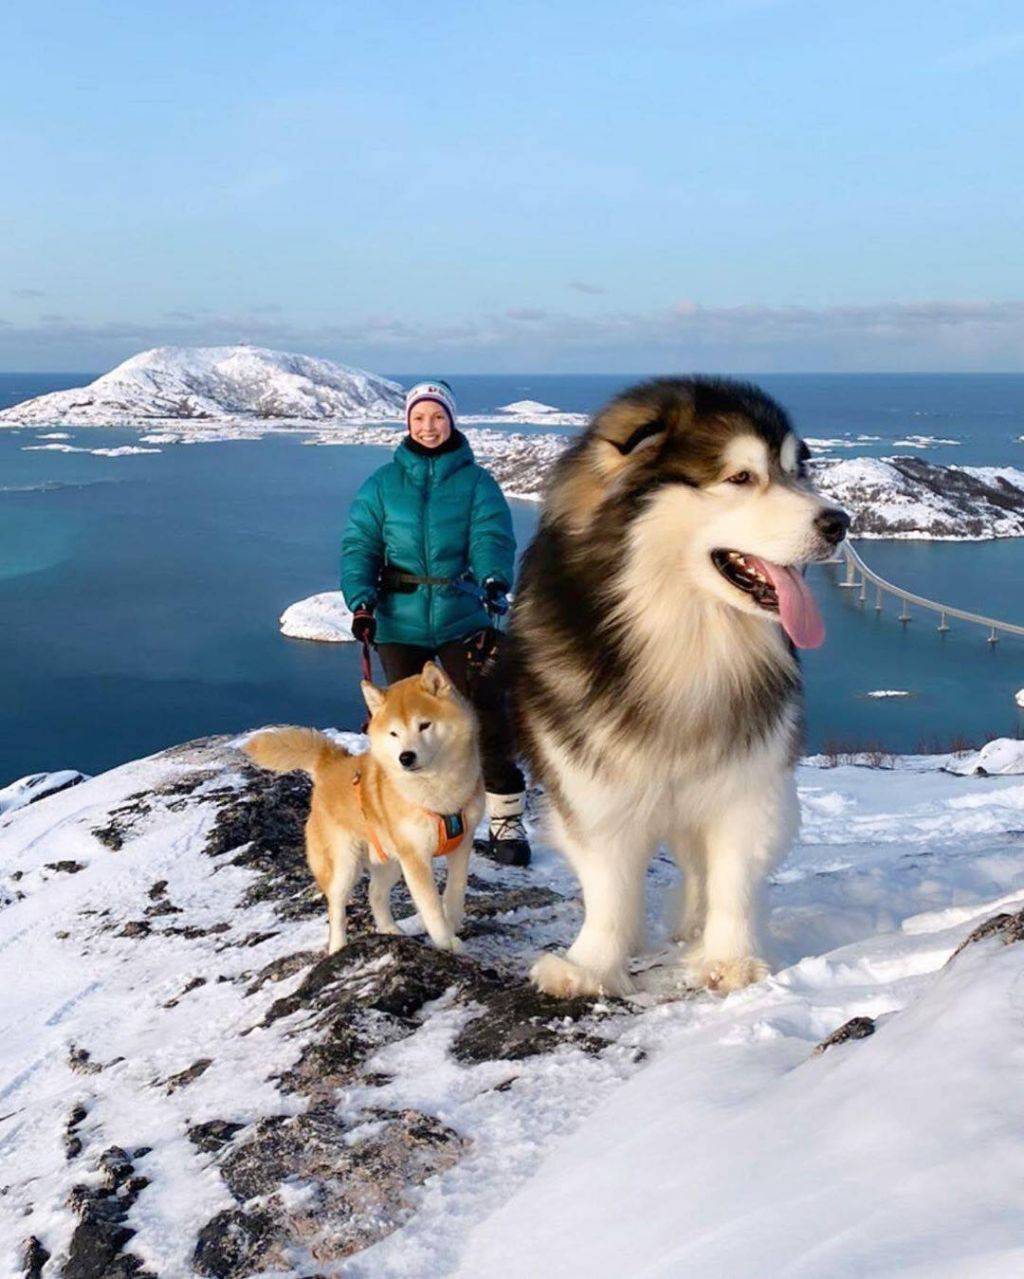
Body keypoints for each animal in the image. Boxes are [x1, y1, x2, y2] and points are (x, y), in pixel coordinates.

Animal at [240, 665, 483, 956]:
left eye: (424, 725)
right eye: (394, 733)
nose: (406, 757)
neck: (438, 795)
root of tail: (331, 764)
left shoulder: (461, 843)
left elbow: (456, 890)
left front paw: (454, 923)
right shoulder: (415, 858)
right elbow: (431, 906)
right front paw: (445, 942)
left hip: (390, 862)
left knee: (374, 893)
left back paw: (390, 930)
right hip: (345, 864)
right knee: (336, 908)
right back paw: (337, 947)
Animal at [508, 376, 848, 997]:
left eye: (797, 472)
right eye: (740, 477)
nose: (839, 523)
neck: (684, 637)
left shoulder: (748, 778)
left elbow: (733, 877)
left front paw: (731, 960)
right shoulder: (592, 781)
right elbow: (610, 887)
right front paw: (591, 966)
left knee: (698, 866)